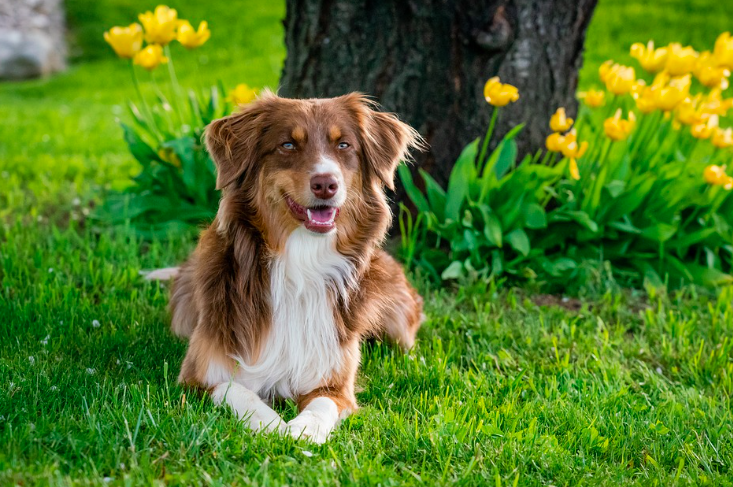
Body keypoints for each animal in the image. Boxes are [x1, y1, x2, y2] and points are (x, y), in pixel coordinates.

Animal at [147, 89, 424, 444]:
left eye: (344, 145)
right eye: (288, 145)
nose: (326, 184)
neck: (301, 262)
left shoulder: (335, 383)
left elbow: (322, 405)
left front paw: (304, 430)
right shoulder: (198, 376)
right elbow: (236, 391)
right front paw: (273, 425)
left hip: (397, 322)